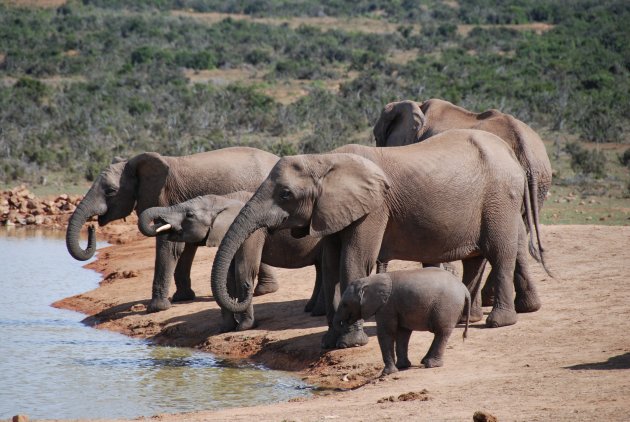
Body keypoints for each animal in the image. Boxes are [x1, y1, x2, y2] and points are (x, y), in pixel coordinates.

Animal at [65, 147, 280, 312]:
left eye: (110, 191)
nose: (91, 226)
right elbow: (183, 245)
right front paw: (182, 298)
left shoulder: (166, 197)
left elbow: (169, 246)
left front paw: (156, 309)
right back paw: (265, 291)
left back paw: (263, 292)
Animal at [138, 190, 326, 330]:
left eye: (189, 215)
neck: (224, 200)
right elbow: (228, 277)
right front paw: (226, 328)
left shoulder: (254, 233)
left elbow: (243, 270)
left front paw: (244, 327)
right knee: (321, 269)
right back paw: (312, 309)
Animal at [210, 128, 552, 350]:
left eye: (285, 194)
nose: (244, 296)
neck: (325, 160)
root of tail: (511, 154)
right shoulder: (333, 211)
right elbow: (331, 265)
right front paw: (329, 341)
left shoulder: (374, 208)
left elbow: (353, 261)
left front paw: (349, 343)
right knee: (475, 258)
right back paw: (463, 319)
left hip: (500, 198)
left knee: (500, 253)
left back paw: (498, 322)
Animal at [334, 268, 472, 374]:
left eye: (345, 304)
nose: (341, 345)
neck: (369, 280)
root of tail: (464, 289)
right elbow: (402, 333)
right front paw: (402, 366)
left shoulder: (386, 306)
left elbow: (386, 333)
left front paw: (387, 373)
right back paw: (424, 361)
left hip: (447, 306)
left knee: (442, 332)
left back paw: (431, 364)